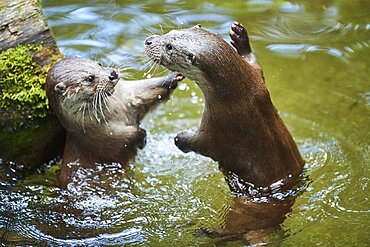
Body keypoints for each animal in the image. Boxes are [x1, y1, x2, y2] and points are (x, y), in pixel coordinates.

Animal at [46, 57, 184, 186]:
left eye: (99, 64)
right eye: (90, 78)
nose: (112, 74)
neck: (115, 111)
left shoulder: (127, 97)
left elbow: (145, 91)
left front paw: (174, 77)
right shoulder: (102, 138)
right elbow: (126, 141)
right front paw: (142, 138)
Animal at [145, 21, 304, 191]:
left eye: (169, 47)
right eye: (170, 32)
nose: (148, 41)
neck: (240, 92)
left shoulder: (219, 127)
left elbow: (203, 145)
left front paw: (180, 138)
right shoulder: (256, 79)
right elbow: (254, 62)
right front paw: (239, 36)